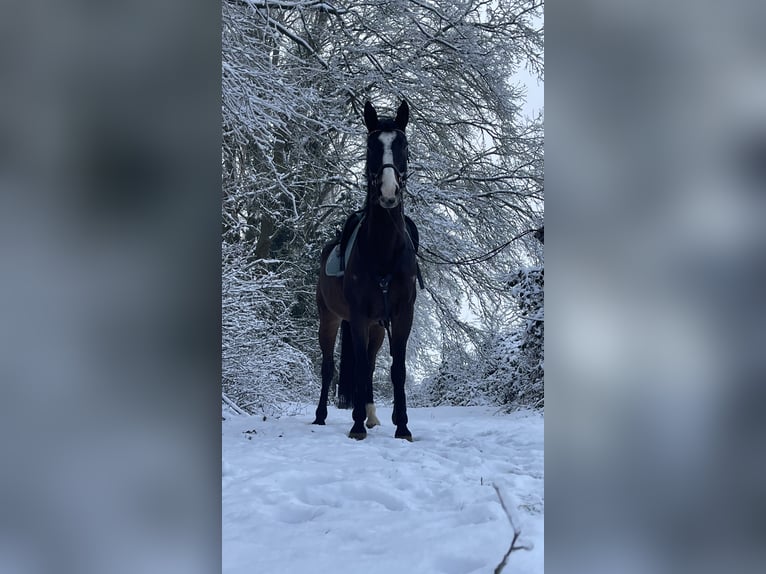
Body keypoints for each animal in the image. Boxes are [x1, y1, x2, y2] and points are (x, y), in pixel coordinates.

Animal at [312, 100, 419, 441]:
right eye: (372, 147)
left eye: (403, 145)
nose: (388, 192)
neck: (383, 248)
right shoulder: (357, 315)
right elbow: (355, 367)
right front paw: (356, 425)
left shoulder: (401, 314)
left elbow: (397, 369)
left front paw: (403, 426)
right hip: (330, 318)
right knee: (329, 366)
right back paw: (322, 416)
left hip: (376, 326)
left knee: (370, 365)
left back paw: (372, 415)